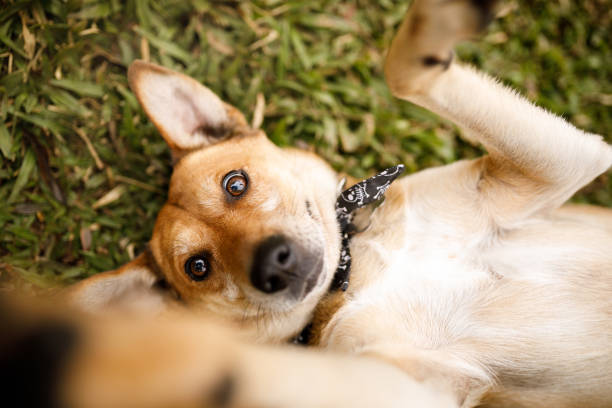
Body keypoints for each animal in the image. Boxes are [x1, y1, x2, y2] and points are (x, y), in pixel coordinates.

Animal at [56, 0, 612, 404]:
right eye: (198, 267)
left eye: (234, 184)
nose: (273, 265)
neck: (355, 268)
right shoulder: (413, 384)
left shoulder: (560, 163)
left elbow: (400, 72)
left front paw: (434, 27)